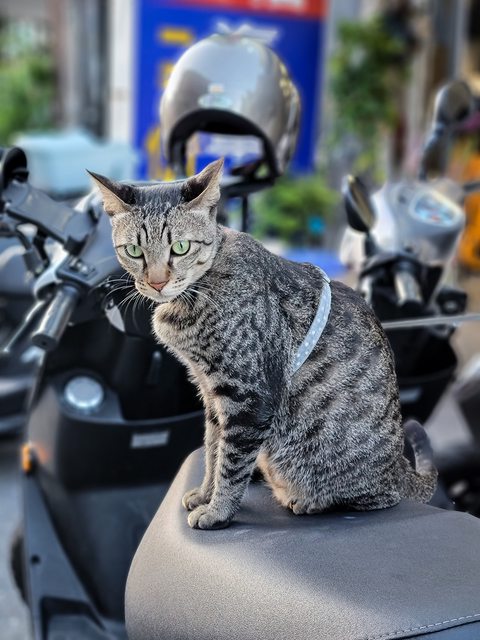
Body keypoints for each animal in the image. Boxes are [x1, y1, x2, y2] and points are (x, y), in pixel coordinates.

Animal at [88, 158, 437, 530]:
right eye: (134, 250)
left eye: (180, 247)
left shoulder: (248, 399)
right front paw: (204, 494)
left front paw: (217, 512)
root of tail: (401, 467)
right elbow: (212, 451)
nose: (156, 283)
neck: (199, 291)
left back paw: (308, 500)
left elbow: (230, 465)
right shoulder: (212, 397)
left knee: (378, 498)